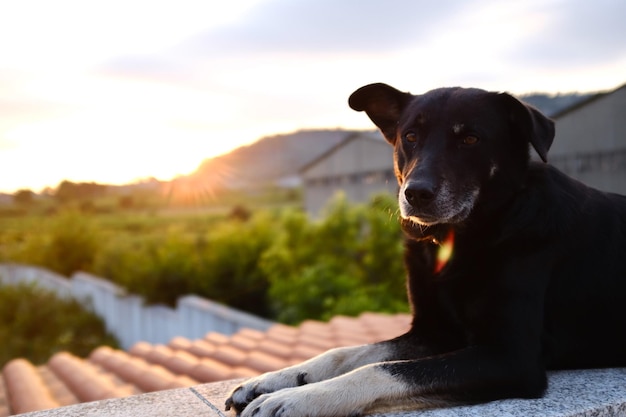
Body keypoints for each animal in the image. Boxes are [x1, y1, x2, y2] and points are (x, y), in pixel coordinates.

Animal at [224, 83, 624, 414]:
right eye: (411, 136)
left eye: (470, 139)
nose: (415, 193)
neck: (467, 235)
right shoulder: (432, 331)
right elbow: (350, 353)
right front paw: (279, 379)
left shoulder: (511, 356)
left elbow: (378, 370)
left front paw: (301, 398)